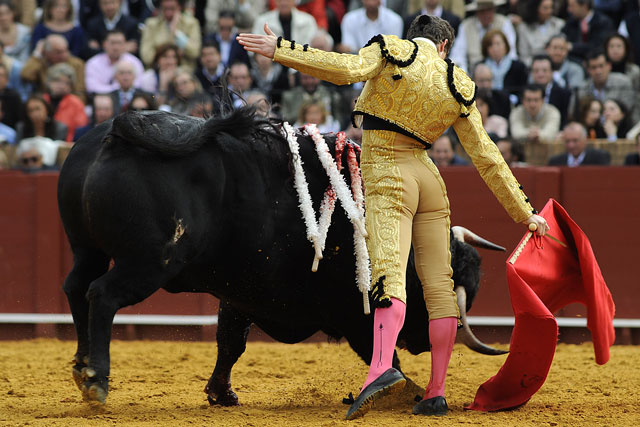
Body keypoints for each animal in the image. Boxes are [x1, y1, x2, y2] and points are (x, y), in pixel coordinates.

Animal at [56, 108, 504, 406]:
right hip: (148, 263)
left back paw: (80, 365)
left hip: (86, 249)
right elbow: (381, 350)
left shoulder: (239, 294)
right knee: (102, 295)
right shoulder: (352, 312)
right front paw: (402, 389)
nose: (426, 342)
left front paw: (221, 394)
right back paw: (96, 379)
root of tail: (117, 131)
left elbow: (230, 343)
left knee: (76, 287)